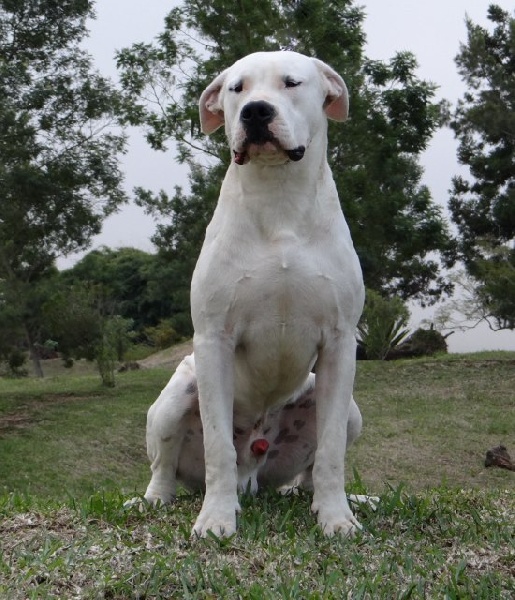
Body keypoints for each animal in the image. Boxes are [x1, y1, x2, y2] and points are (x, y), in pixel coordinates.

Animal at [143, 51, 364, 536]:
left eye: (291, 83)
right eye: (236, 88)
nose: (256, 112)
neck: (278, 198)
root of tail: (253, 473)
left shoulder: (340, 342)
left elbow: (331, 449)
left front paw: (336, 517)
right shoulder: (214, 338)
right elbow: (218, 447)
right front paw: (216, 519)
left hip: (346, 409)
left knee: (311, 467)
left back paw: (330, 499)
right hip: (176, 395)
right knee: (163, 466)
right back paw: (154, 500)